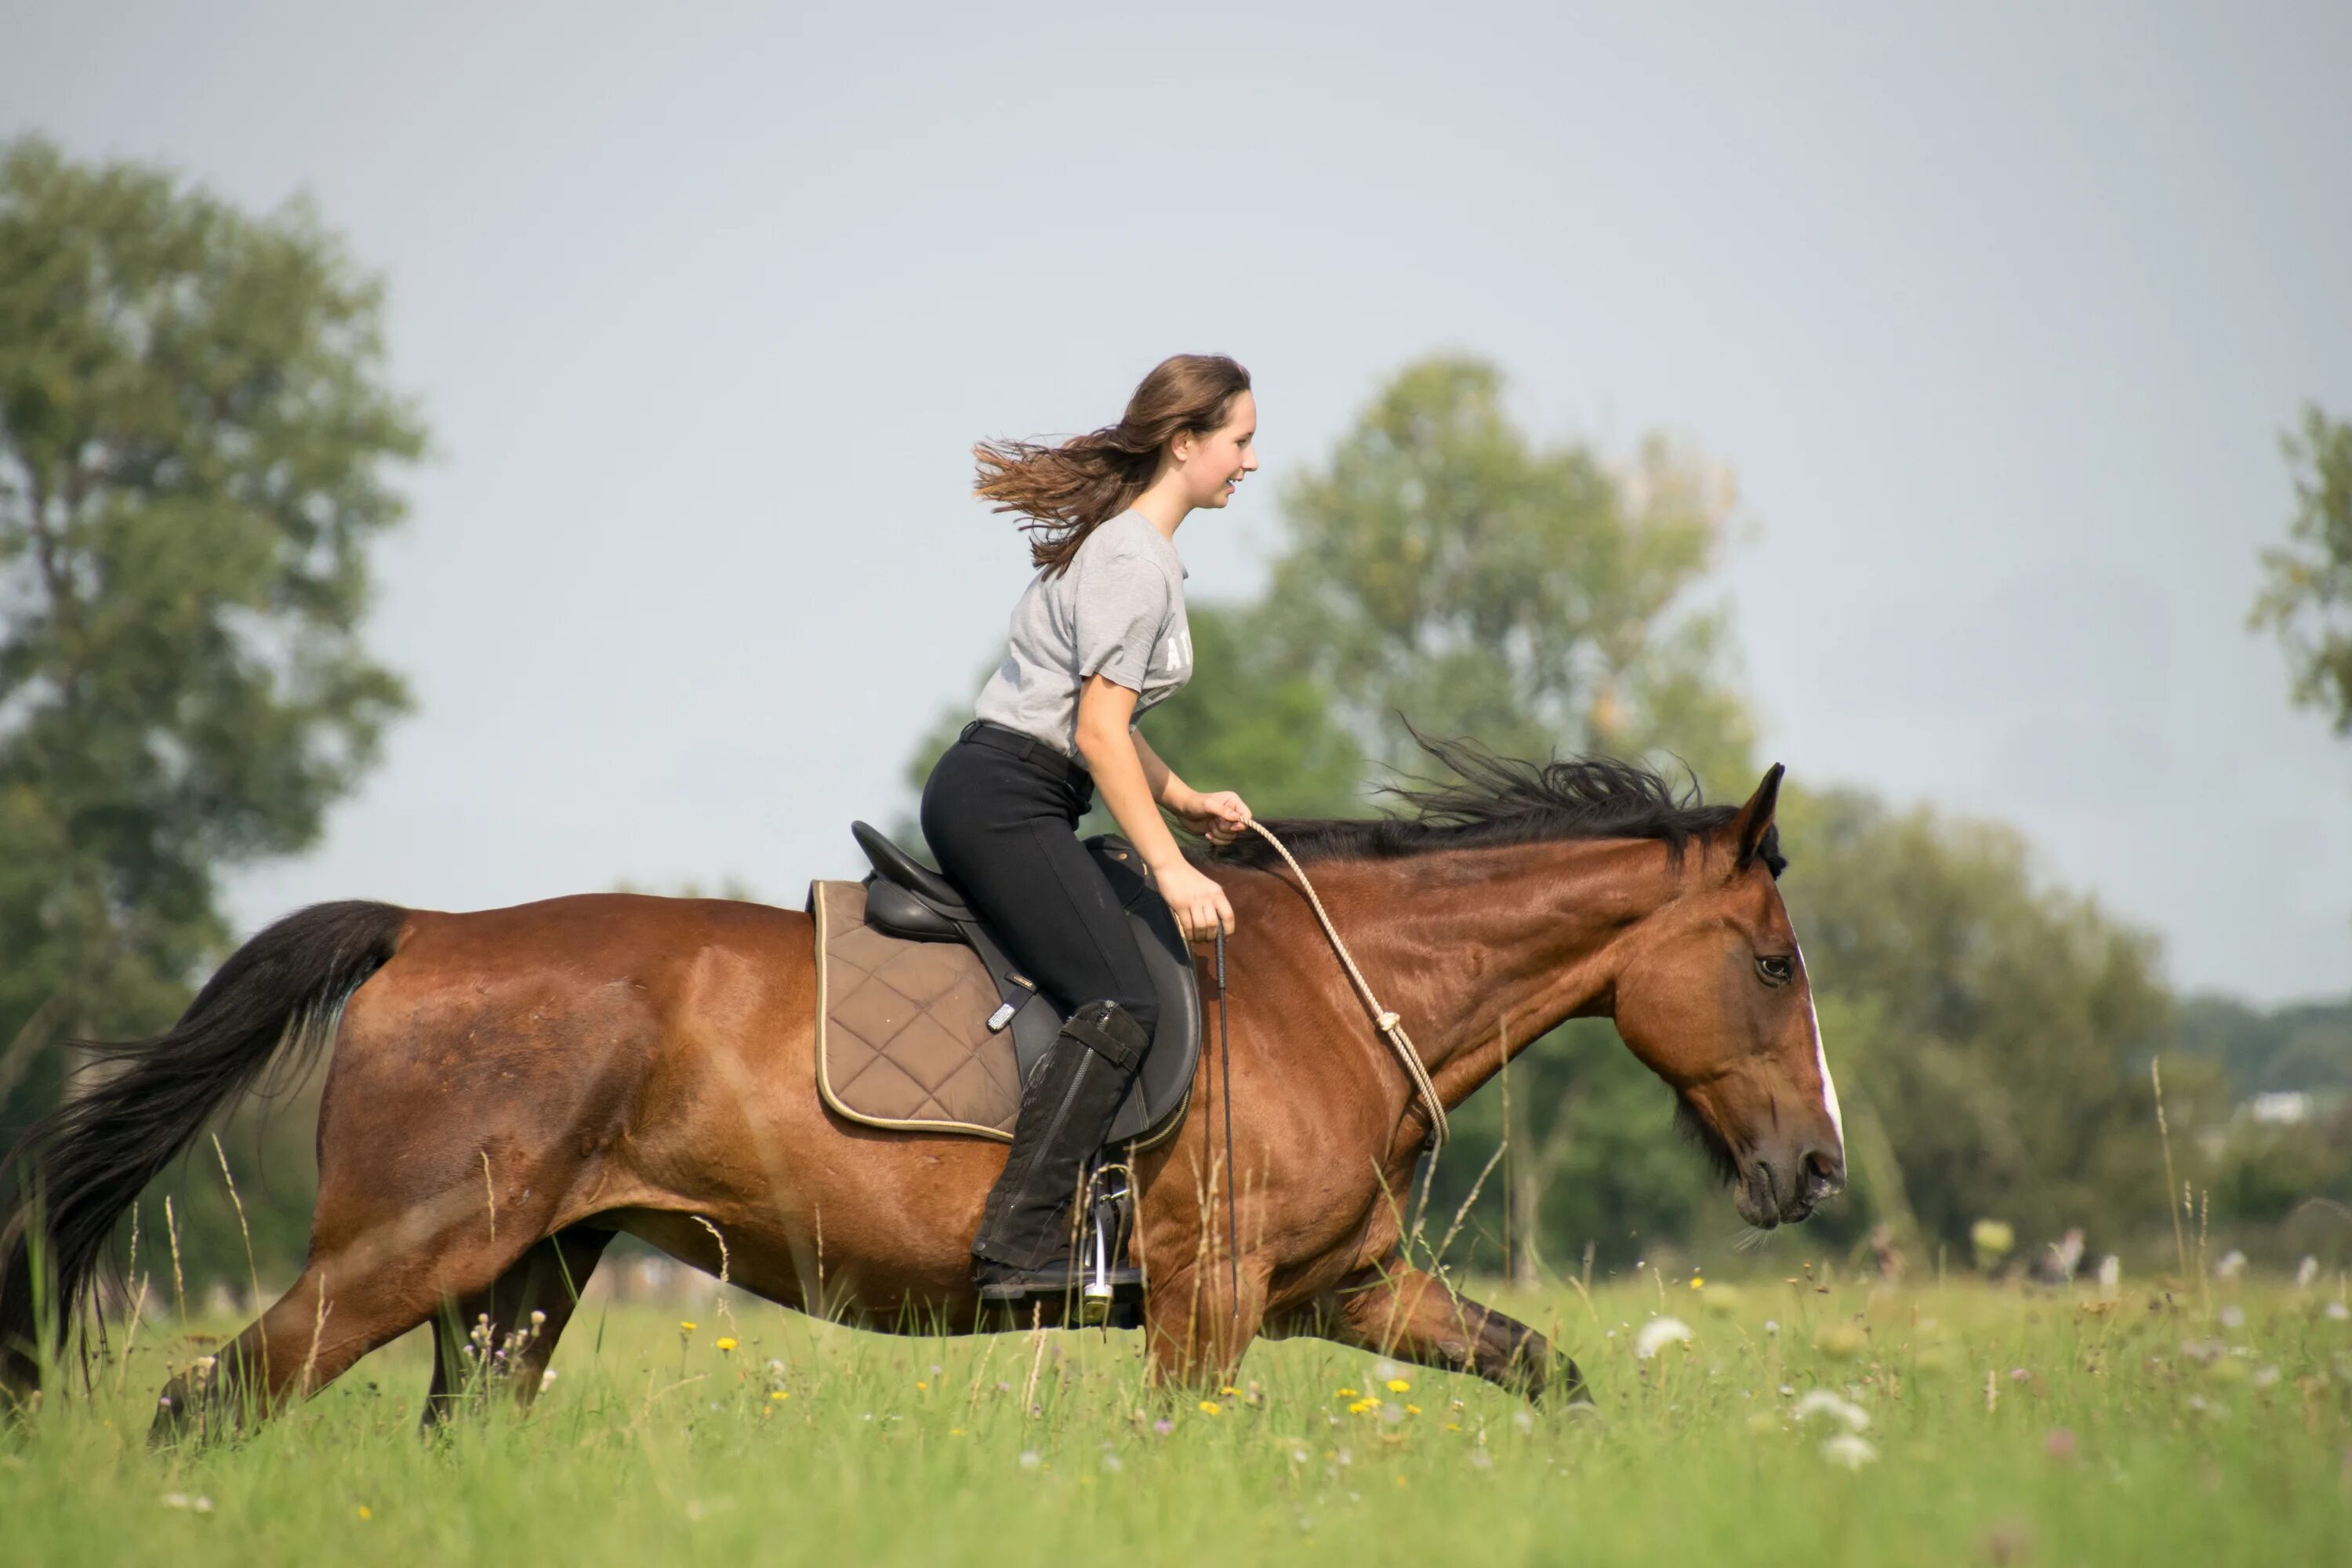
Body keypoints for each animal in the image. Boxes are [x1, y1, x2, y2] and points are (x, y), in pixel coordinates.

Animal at [0, 747, 1835, 1439]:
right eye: (1773, 964)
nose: (1815, 1177)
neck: (1329, 995)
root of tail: (427, 932)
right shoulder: (1213, 1296)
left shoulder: (1348, 1290)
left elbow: (1550, 1371)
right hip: (399, 1257)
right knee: (205, 1403)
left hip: (525, 1280)